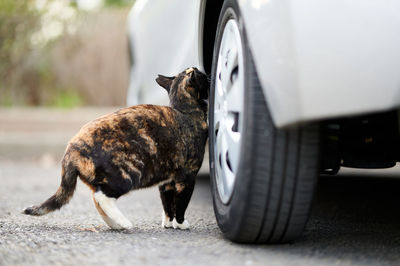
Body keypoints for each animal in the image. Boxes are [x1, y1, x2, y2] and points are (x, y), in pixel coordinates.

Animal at [23, 67, 209, 230]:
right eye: (203, 76)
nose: (207, 74)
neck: (186, 111)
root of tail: (73, 147)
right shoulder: (187, 178)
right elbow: (181, 204)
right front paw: (181, 224)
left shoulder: (167, 182)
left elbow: (168, 204)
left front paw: (169, 223)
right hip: (126, 176)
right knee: (101, 197)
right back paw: (125, 223)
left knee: (97, 200)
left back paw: (116, 225)